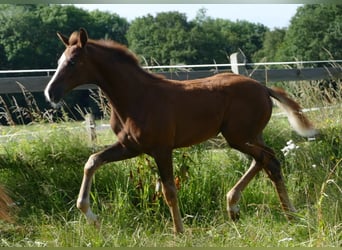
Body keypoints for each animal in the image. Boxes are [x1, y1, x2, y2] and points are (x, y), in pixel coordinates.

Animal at [44, 28, 316, 233]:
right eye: (58, 62)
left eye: (73, 62)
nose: (50, 93)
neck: (136, 97)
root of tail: (263, 87)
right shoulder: (130, 147)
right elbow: (92, 161)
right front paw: (91, 216)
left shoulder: (161, 148)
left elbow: (169, 191)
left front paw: (179, 231)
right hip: (247, 136)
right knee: (264, 161)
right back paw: (240, 207)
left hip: (238, 136)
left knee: (269, 160)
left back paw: (283, 212)